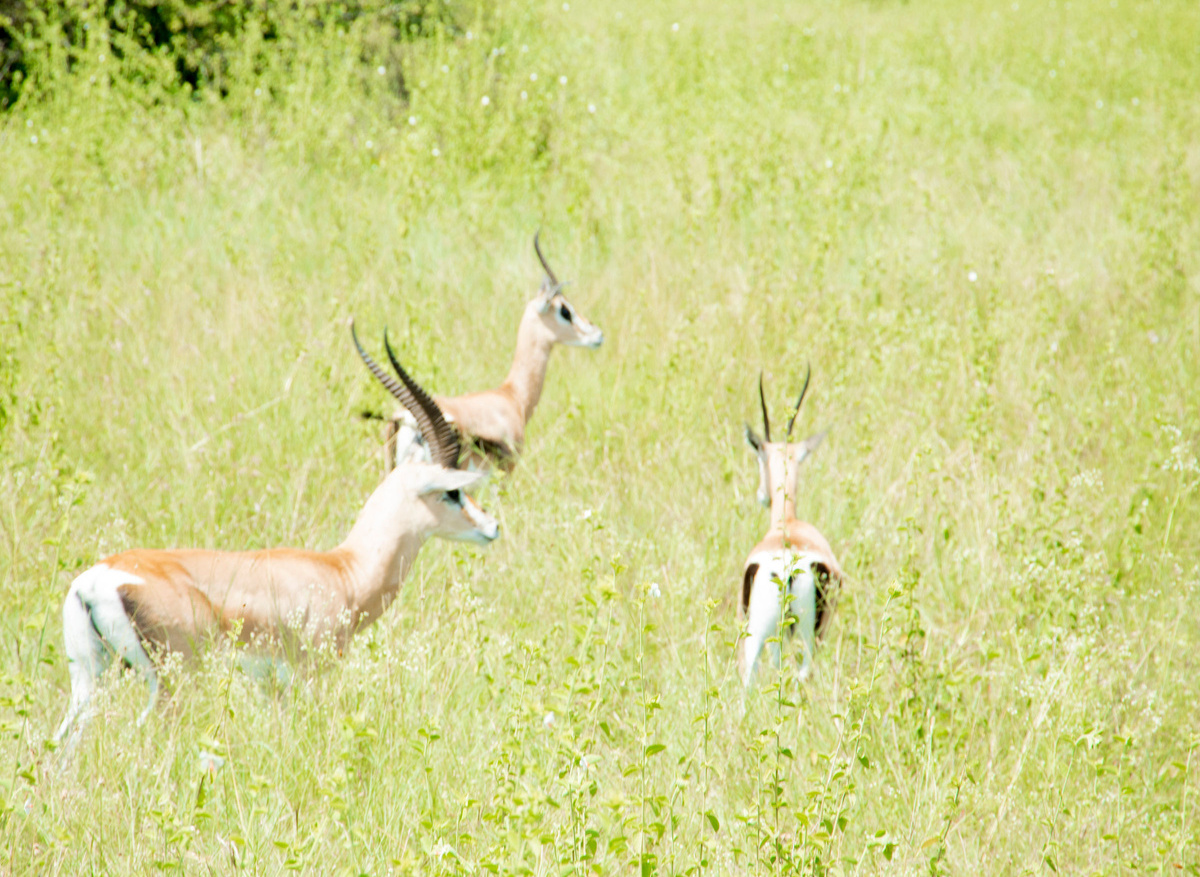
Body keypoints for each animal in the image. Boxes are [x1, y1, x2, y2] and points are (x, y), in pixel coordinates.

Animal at [53, 322, 499, 751]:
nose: (491, 527)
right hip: (171, 683)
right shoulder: (312, 675)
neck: (344, 573)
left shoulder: (273, 688)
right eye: (453, 491)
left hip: (88, 681)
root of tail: (95, 581)